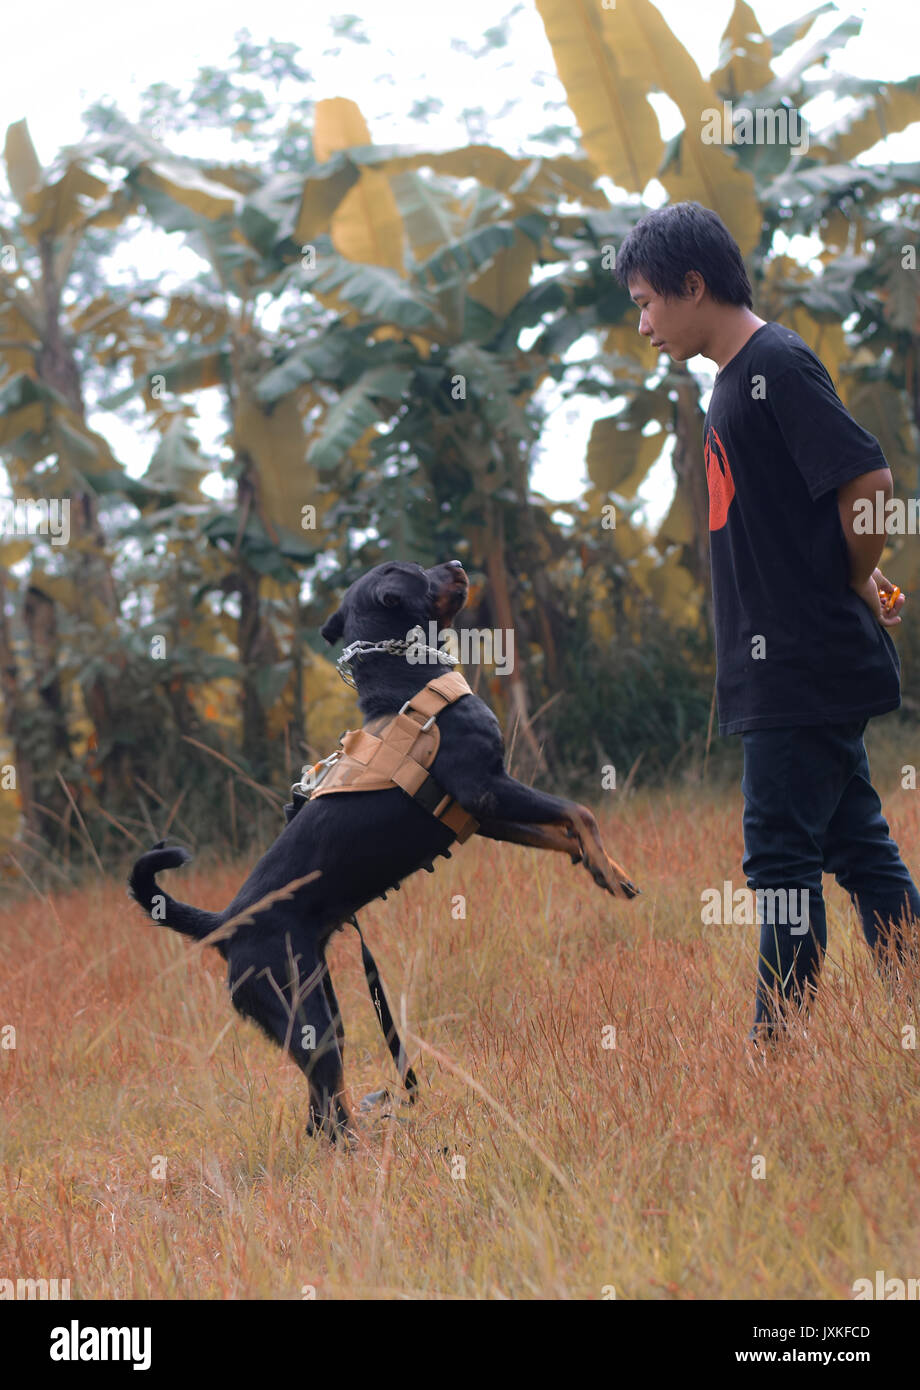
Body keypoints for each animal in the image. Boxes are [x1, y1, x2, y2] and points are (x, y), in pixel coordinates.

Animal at [127, 561, 642, 1139]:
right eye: (418, 571)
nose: (458, 564)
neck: (406, 682)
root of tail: (226, 923)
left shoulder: (484, 814)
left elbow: (561, 827)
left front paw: (597, 864)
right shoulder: (485, 788)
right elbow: (581, 810)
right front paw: (607, 870)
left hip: (322, 1007)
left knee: (320, 1110)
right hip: (302, 1011)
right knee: (327, 1112)